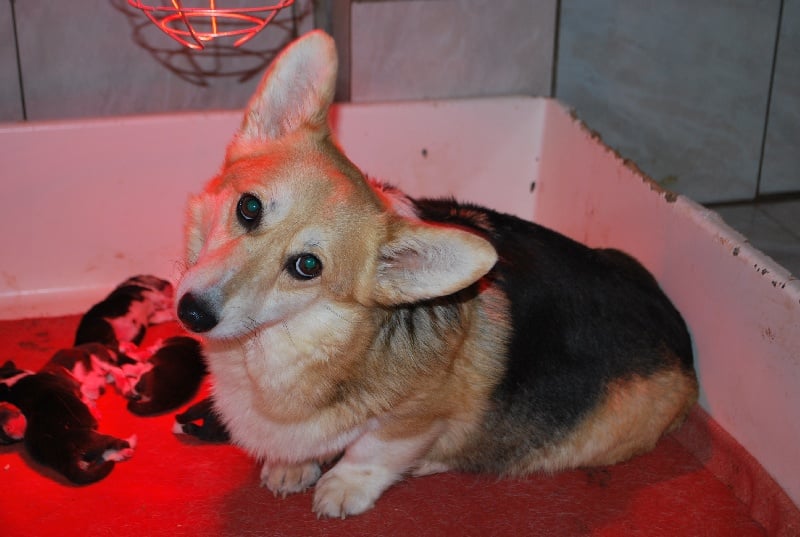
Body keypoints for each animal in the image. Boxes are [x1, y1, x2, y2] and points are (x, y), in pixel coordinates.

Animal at [175, 30, 698, 518]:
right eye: (248, 207)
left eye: (307, 266)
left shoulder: (420, 417)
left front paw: (343, 486)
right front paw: (291, 466)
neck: (270, 350)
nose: (193, 313)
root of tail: (683, 347)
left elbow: (376, 447)